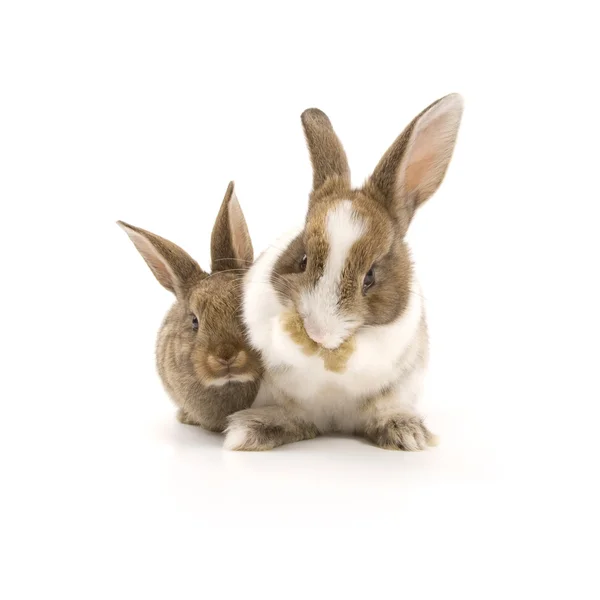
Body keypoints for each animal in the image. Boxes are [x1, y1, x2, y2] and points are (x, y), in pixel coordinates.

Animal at [225, 94, 464, 450]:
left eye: (371, 277)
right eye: (303, 260)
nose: (318, 333)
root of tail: (331, 423)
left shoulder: (392, 336)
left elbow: (365, 352)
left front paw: (340, 354)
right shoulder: (261, 310)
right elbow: (275, 335)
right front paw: (298, 339)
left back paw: (406, 432)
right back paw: (250, 430)